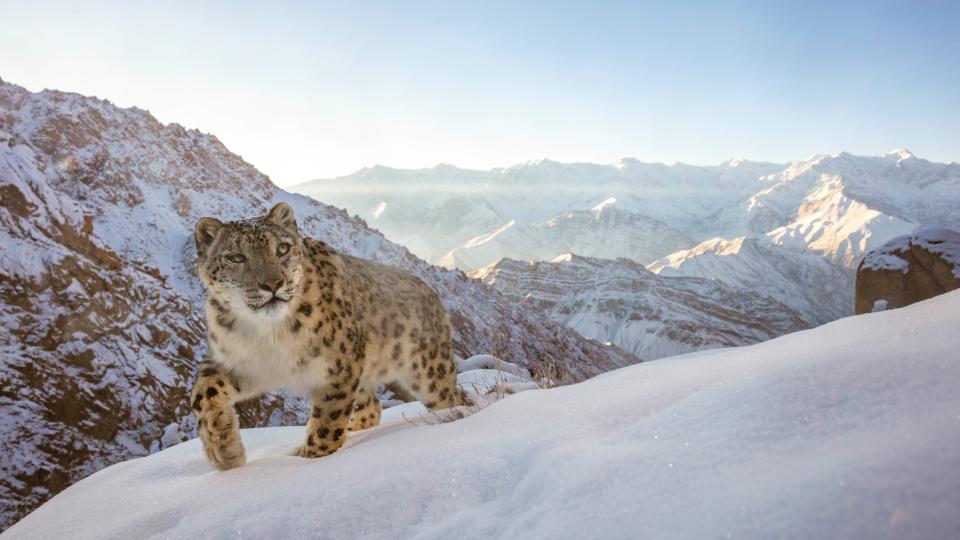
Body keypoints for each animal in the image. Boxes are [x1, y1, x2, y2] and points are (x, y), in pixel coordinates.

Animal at [188, 202, 464, 468]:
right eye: (236, 257)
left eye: (283, 248)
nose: (273, 284)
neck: (269, 334)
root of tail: (431, 293)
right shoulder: (235, 362)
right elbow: (203, 393)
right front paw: (225, 450)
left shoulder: (339, 369)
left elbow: (327, 422)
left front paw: (310, 458)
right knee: (372, 408)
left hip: (428, 372)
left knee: (450, 397)